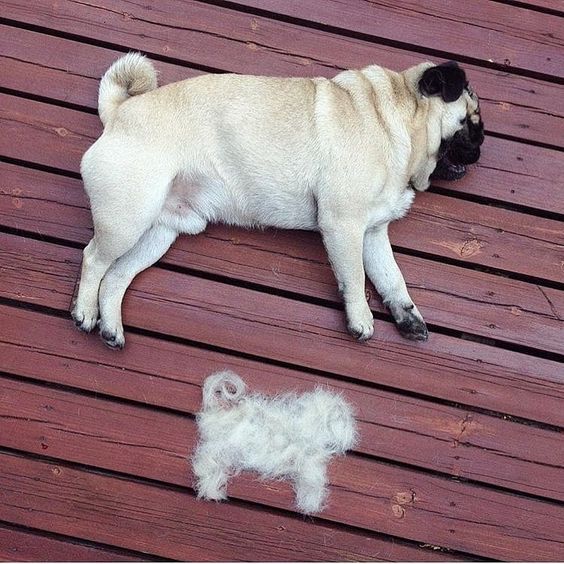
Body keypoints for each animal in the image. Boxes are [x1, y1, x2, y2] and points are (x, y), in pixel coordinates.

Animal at [71, 53, 484, 348]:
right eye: (471, 121)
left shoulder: (373, 233)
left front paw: (408, 317)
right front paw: (361, 319)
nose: (482, 144)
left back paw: (111, 329)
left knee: (117, 276)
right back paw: (85, 313)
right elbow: (355, 276)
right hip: (127, 217)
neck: (394, 121)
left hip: (158, 231)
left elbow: (391, 278)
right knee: (94, 258)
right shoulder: (344, 224)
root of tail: (118, 113)